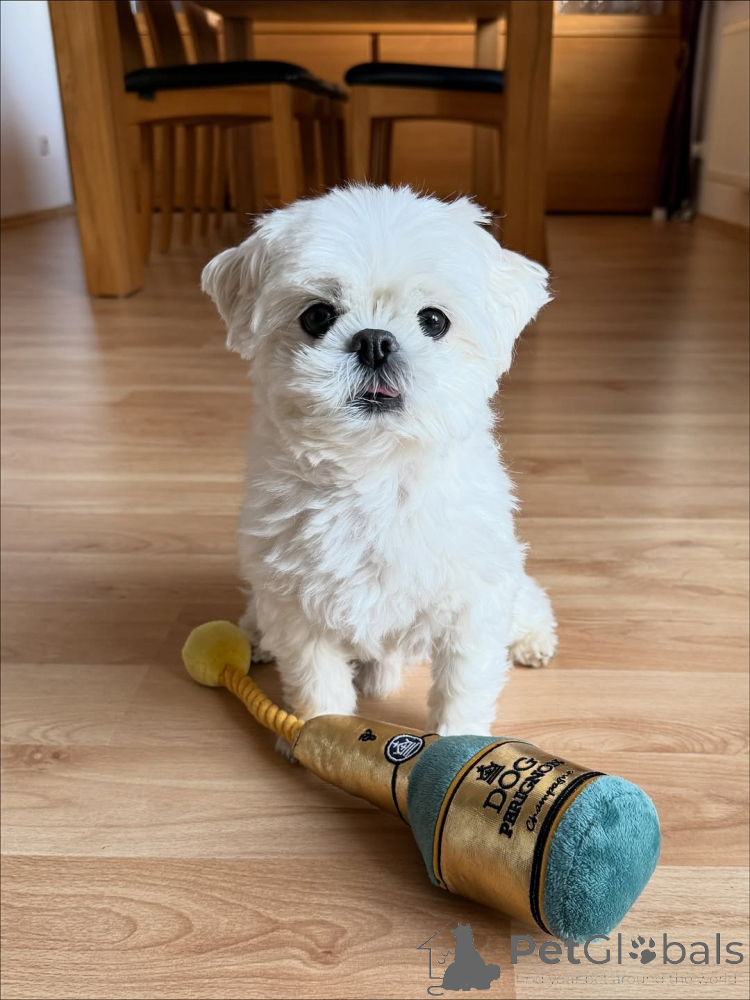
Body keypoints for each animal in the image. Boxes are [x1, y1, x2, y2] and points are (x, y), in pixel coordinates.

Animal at [202, 185, 556, 744]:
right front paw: (314, 736)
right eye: (317, 316)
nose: (374, 340)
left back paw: (533, 642)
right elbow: (318, 684)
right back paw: (256, 636)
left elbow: (462, 686)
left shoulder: (472, 606)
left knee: (530, 604)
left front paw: (456, 745)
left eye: (434, 320)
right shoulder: (299, 609)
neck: (375, 472)